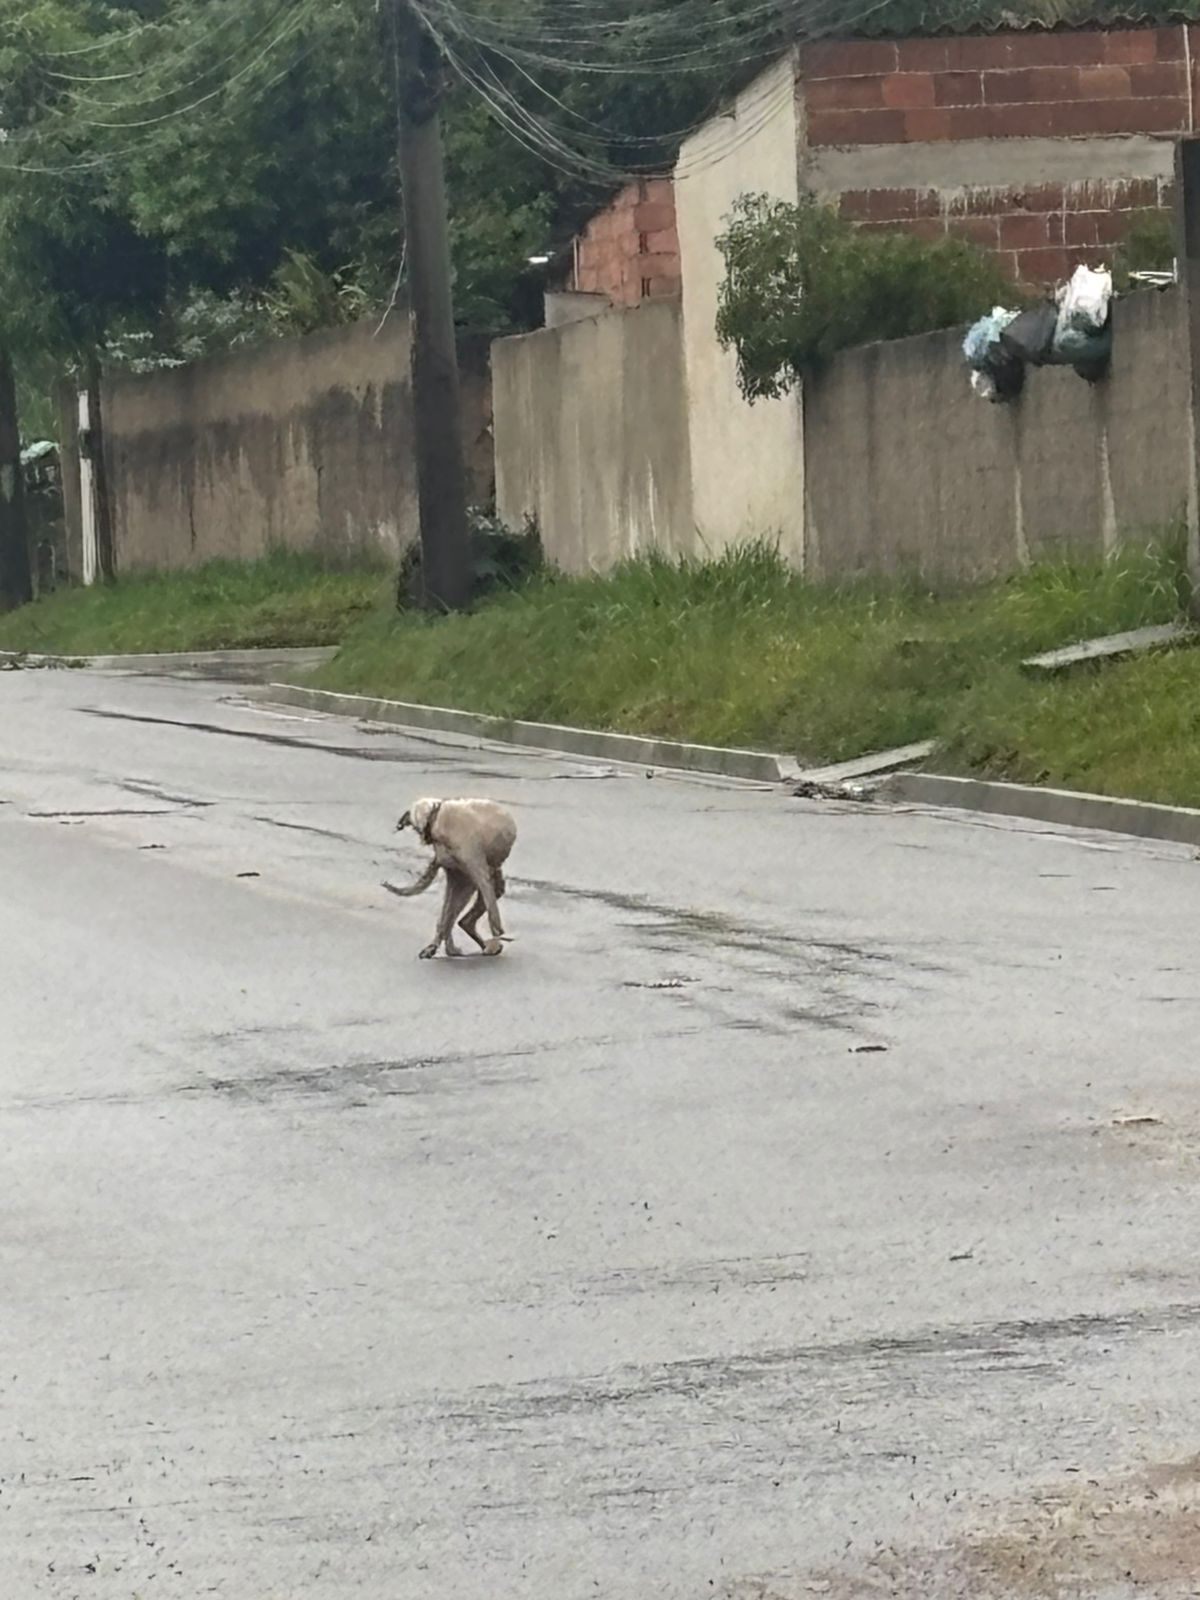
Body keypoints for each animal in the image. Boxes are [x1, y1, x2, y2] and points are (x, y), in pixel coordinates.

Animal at [386, 797, 517, 960]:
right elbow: (447, 912)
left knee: (491, 891)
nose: (424, 838)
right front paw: (438, 946)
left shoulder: (471, 864)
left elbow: (486, 900)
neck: (436, 815)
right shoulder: (454, 870)